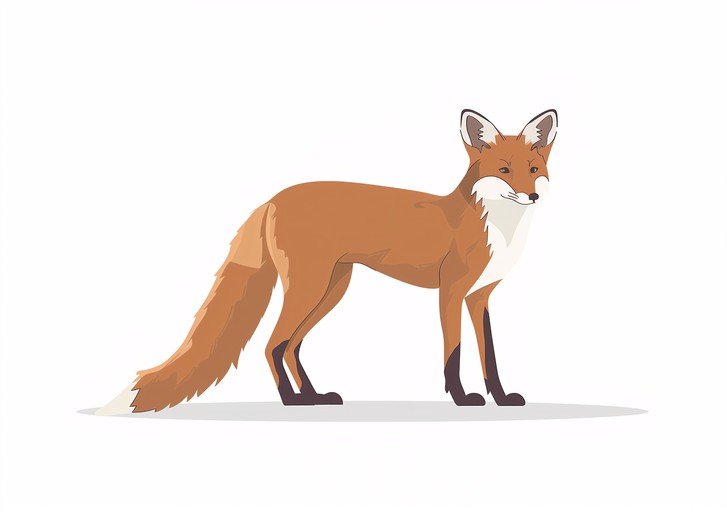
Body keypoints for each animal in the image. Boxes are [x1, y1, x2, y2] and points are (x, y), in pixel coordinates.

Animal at [96, 108, 557, 414]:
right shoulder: (451, 292)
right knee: (273, 344)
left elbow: (490, 355)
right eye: (503, 170)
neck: (494, 226)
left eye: (534, 169)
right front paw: (462, 399)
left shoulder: (480, 297)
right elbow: (454, 355)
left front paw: (502, 398)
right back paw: (289, 401)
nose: (533, 196)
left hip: (331, 290)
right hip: (311, 288)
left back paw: (312, 396)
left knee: (291, 346)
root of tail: (272, 199)